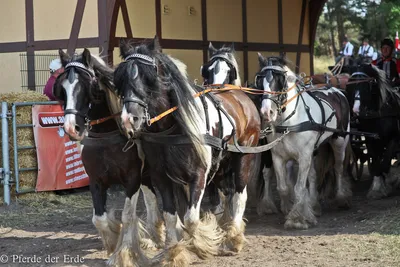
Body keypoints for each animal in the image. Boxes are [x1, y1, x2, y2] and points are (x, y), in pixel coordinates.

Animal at [54, 49, 164, 266]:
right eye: (62, 89)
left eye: (86, 86)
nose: (71, 128)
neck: (106, 135)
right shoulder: (96, 181)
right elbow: (99, 219)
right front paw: (113, 241)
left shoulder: (132, 179)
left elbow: (128, 216)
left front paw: (124, 253)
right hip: (146, 176)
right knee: (151, 200)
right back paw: (155, 234)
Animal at [255, 54, 352, 230]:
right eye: (260, 80)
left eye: (281, 80)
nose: (267, 112)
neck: (290, 121)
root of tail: (336, 91)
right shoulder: (278, 157)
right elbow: (283, 187)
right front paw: (289, 210)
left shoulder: (304, 156)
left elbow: (299, 187)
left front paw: (298, 219)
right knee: (313, 176)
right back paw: (314, 205)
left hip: (339, 142)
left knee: (338, 168)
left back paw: (341, 198)